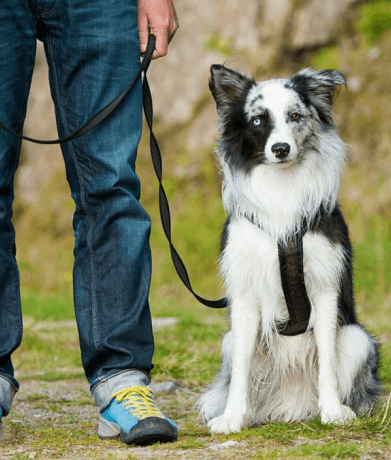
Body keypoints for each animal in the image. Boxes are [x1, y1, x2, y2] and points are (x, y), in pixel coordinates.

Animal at [198, 65, 382, 434]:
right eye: (257, 121)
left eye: (295, 116)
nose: (281, 148)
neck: (281, 187)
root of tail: (292, 403)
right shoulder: (245, 293)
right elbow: (240, 371)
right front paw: (232, 417)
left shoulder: (325, 288)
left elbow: (327, 359)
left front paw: (333, 411)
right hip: (228, 341)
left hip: (358, 339)